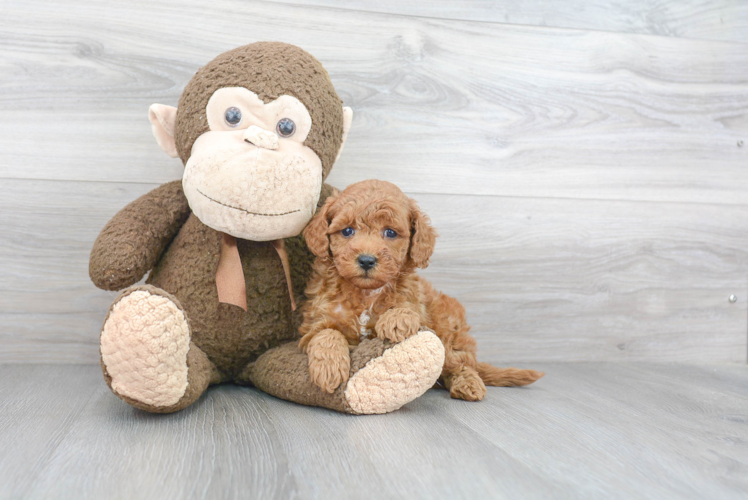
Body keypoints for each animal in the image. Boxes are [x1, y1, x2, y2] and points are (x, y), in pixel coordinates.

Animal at [298, 178, 544, 400]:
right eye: (347, 231)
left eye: (390, 233)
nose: (366, 260)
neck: (366, 293)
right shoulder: (317, 321)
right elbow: (326, 333)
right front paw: (329, 368)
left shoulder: (415, 302)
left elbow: (407, 309)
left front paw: (396, 319)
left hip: (448, 333)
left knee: (461, 365)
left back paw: (469, 385)